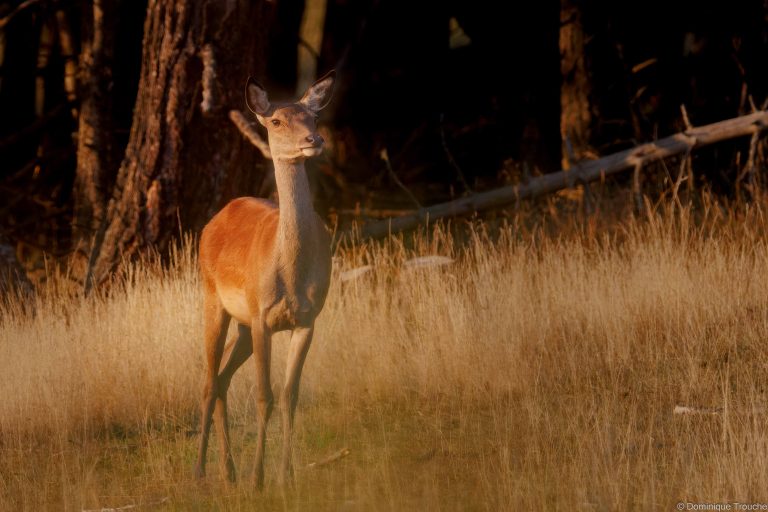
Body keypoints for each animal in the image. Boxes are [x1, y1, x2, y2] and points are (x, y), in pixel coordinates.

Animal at [194, 71, 335, 488]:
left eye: (313, 116)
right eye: (276, 121)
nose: (314, 140)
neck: (290, 271)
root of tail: (216, 217)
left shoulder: (307, 319)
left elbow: (289, 396)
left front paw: (287, 476)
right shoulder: (261, 317)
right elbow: (264, 396)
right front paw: (259, 479)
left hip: (241, 324)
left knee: (222, 378)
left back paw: (228, 471)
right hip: (213, 299)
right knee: (208, 380)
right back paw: (200, 471)